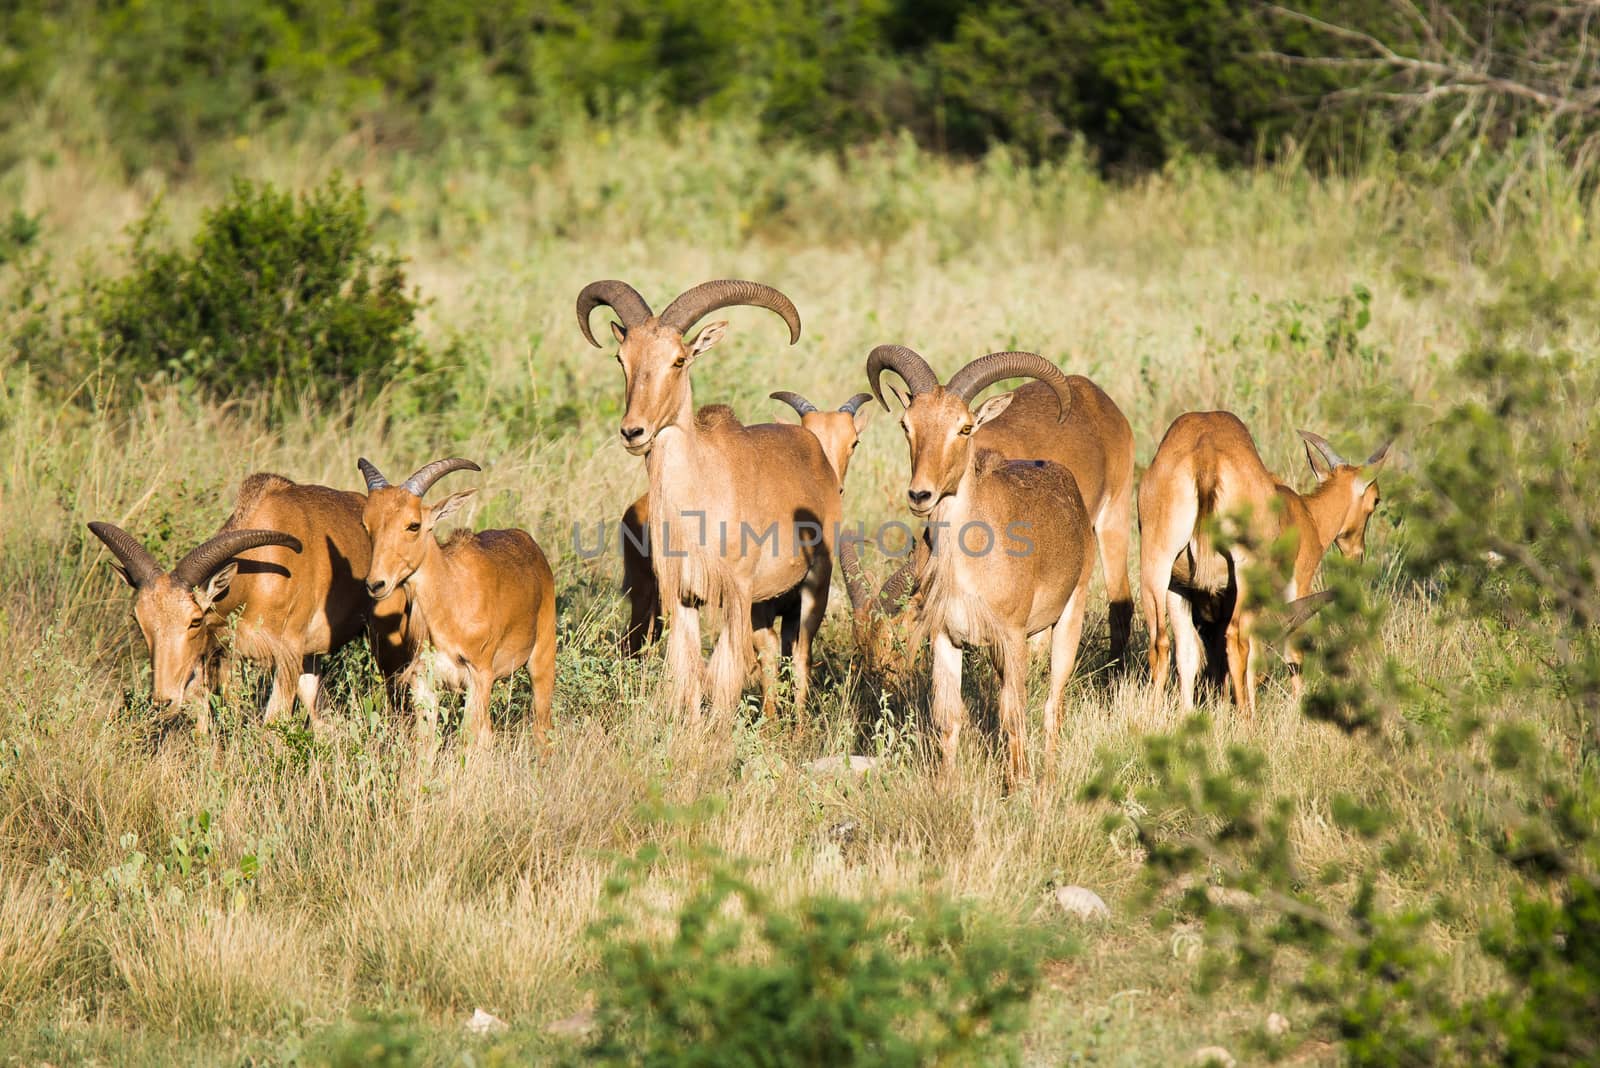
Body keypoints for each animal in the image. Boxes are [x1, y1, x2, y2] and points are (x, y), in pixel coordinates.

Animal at [360, 457, 560, 751]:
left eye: (413, 524)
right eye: (367, 524)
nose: (376, 584)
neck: (449, 602)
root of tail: (529, 543)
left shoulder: (479, 675)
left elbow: (472, 737)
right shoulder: (423, 680)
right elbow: (426, 742)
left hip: (542, 660)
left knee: (542, 729)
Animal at [579, 279, 851, 722]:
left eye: (678, 360)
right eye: (622, 358)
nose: (633, 432)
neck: (697, 506)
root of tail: (814, 448)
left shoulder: (736, 594)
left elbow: (725, 679)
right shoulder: (681, 598)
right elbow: (687, 673)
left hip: (815, 584)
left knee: (801, 655)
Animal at [864, 346, 1100, 780]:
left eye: (965, 428)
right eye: (907, 425)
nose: (920, 494)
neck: (967, 567)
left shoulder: (1012, 636)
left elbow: (1013, 715)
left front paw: (1018, 783)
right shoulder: (946, 636)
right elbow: (948, 716)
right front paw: (946, 785)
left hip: (1069, 614)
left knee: (1053, 705)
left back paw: (1047, 776)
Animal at [1139, 415, 1388, 716]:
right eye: (1375, 500)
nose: (1357, 554)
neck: (1304, 514)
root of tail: (1205, 457)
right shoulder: (1298, 583)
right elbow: (1290, 650)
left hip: (1163, 573)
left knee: (1168, 645)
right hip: (1245, 573)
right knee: (1236, 642)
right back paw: (1247, 718)